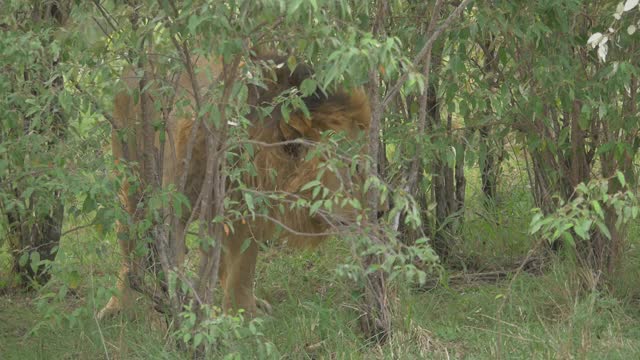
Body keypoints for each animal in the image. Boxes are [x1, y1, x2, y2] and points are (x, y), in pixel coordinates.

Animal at [98, 53, 372, 318]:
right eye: (354, 169)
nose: (377, 213)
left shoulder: (248, 211)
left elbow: (242, 268)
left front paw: (241, 315)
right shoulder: (174, 208)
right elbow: (175, 264)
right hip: (130, 176)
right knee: (129, 246)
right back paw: (116, 307)